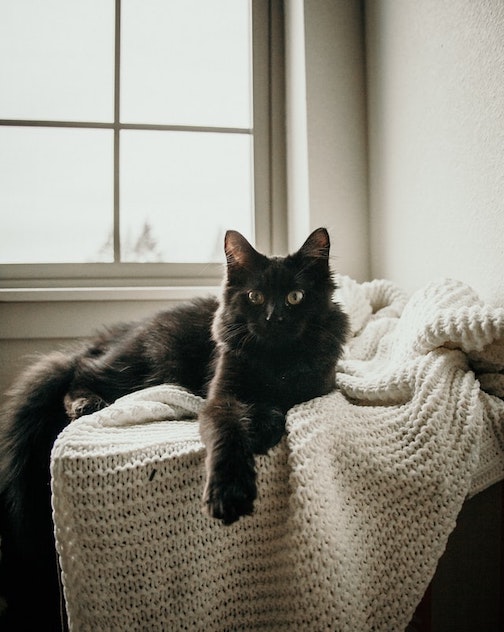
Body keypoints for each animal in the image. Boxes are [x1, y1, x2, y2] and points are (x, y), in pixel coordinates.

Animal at [0, 226, 346, 628]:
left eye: (295, 297)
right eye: (255, 297)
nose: (274, 318)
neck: (275, 358)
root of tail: (116, 335)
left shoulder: (316, 387)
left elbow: (285, 403)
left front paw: (262, 424)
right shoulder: (220, 399)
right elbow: (228, 437)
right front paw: (228, 492)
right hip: (142, 366)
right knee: (81, 371)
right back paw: (86, 402)